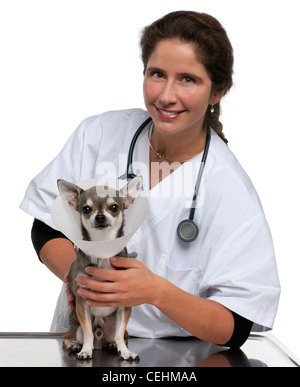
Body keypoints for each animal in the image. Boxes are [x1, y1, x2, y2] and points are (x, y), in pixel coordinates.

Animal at [57, 177, 142, 362]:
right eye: (86, 209)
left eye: (114, 207)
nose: (100, 217)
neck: (103, 249)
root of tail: (99, 342)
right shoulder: (82, 304)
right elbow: (88, 332)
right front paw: (85, 352)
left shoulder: (124, 305)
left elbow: (119, 335)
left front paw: (125, 352)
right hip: (75, 325)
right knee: (69, 338)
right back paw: (75, 346)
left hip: (117, 327)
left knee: (119, 336)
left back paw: (113, 346)